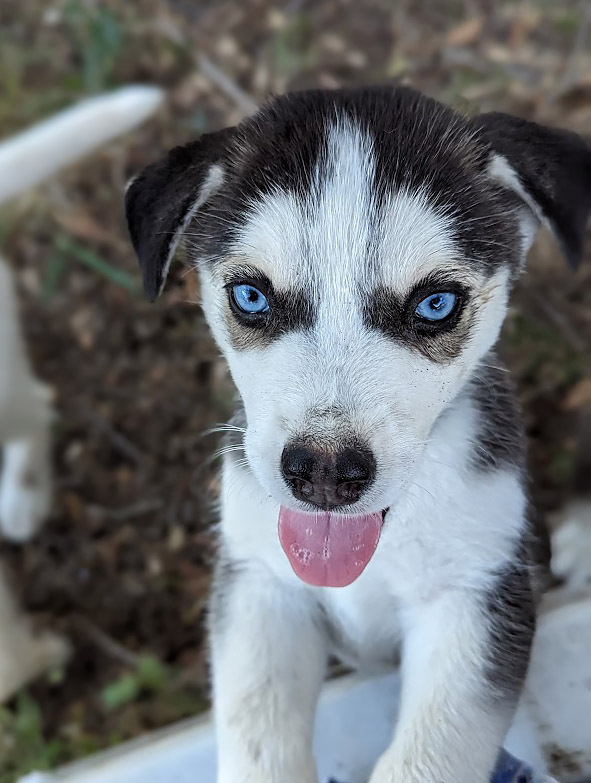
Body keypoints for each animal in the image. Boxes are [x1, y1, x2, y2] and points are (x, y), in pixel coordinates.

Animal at [126, 87, 591, 783]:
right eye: (251, 296)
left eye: (435, 304)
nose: (322, 470)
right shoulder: (261, 585)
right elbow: (259, 737)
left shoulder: (476, 596)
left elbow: (426, 758)